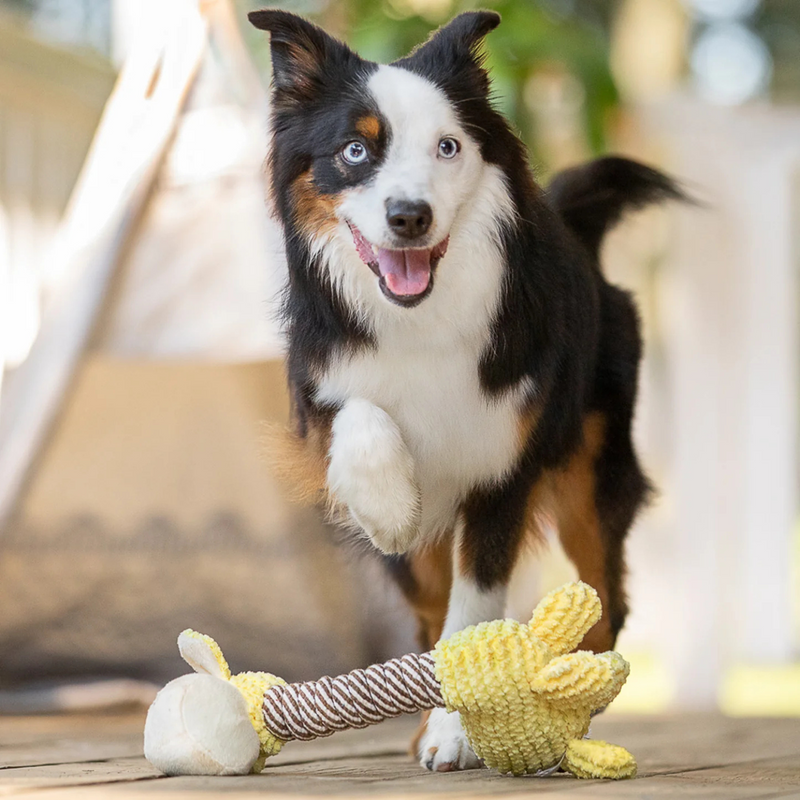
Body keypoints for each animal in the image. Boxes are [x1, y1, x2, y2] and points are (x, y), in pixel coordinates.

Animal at [248, 4, 680, 768]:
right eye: (355, 152)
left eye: (448, 147)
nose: (409, 216)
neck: (423, 314)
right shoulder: (319, 386)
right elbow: (357, 417)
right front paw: (386, 501)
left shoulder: (503, 469)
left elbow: (475, 607)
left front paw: (457, 732)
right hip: (418, 562)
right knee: (425, 604)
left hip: (592, 478)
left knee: (606, 605)